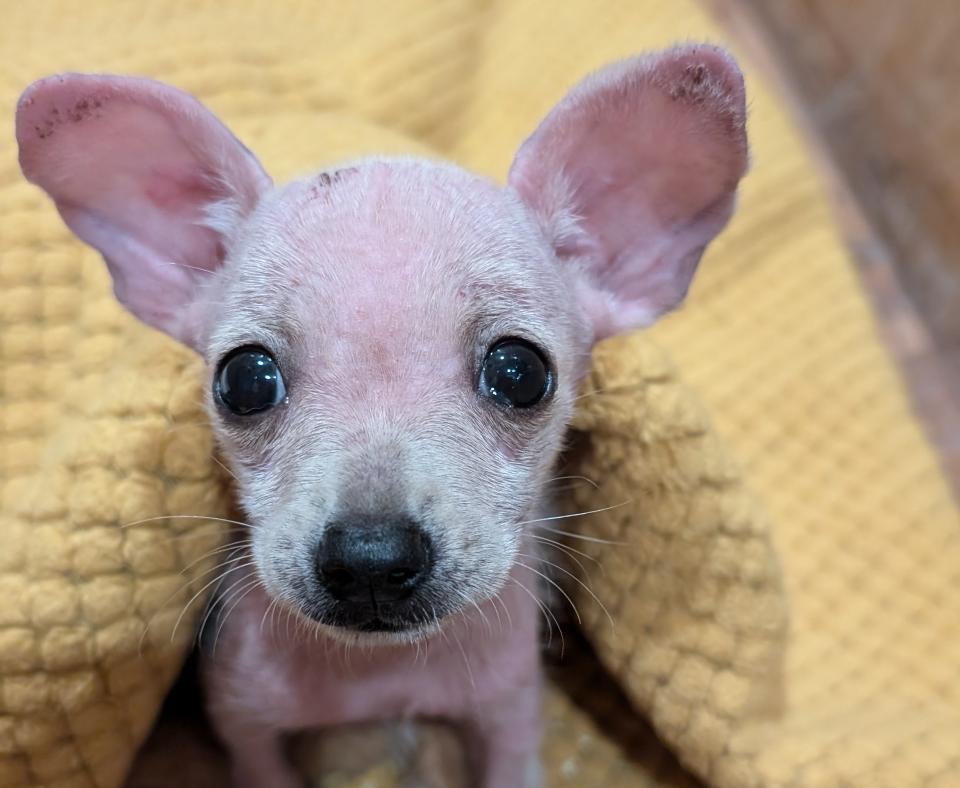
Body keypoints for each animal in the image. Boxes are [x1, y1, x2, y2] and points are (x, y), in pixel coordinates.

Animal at [16, 44, 752, 788]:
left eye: (520, 374)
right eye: (244, 381)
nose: (370, 560)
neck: (382, 675)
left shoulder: (509, 711)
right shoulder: (243, 722)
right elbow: (265, 768)